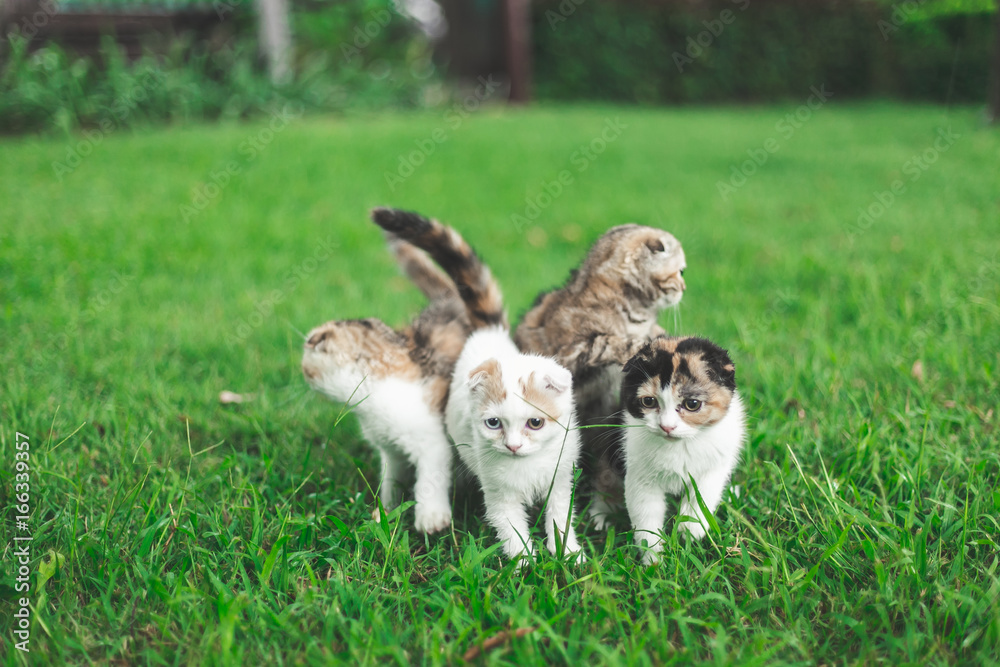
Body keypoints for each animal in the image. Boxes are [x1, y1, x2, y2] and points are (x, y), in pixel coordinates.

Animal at [296, 211, 500, 536]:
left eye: (307, 361)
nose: (302, 370)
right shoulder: (389, 449)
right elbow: (391, 478)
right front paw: (385, 511)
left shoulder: (431, 440)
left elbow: (429, 478)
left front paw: (431, 518)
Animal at [448, 326, 584, 560]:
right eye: (493, 423)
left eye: (535, 422)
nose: (513, 446)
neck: (527, 462)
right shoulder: (499, 495)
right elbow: (512, 530)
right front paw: (524, 561)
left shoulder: (560, 478)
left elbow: (559, 515)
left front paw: (567, 552)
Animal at [620, 334, 748, 564]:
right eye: (649, 401)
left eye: (692, 404)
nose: (667, 427)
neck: (681, 444)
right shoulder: (639, 474)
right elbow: (645, 513)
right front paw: (654, 558)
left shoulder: (716, 464)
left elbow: (704, 493)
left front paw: (690, 531)